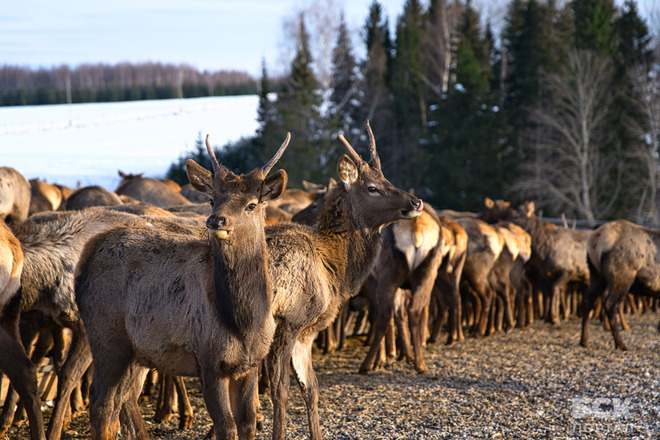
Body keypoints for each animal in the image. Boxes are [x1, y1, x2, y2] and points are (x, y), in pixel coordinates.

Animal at [73, 135, 290, 440]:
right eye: (212, 199)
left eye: (251, 204)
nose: (216, 220)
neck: (243, 323)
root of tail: (85, 259)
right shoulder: (209, 359)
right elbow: (226, 426)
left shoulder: (250, 363)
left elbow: (247, 423)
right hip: (106, 336)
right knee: (101, 405)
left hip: (134, 351)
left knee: (118, 403)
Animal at [262, 122, 422, 440]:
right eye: (372, 187)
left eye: (385, 177)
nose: (416, 201)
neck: (334, 268)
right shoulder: (289, 321)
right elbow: (280, 389)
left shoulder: (306, 332)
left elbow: (310, 387)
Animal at [584, 220, 660, 350]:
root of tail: (594, 240)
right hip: (622, 276)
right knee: (610, 304)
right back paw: (621, 344)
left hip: (596, 274)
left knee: (588, 300)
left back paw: (584, 341)